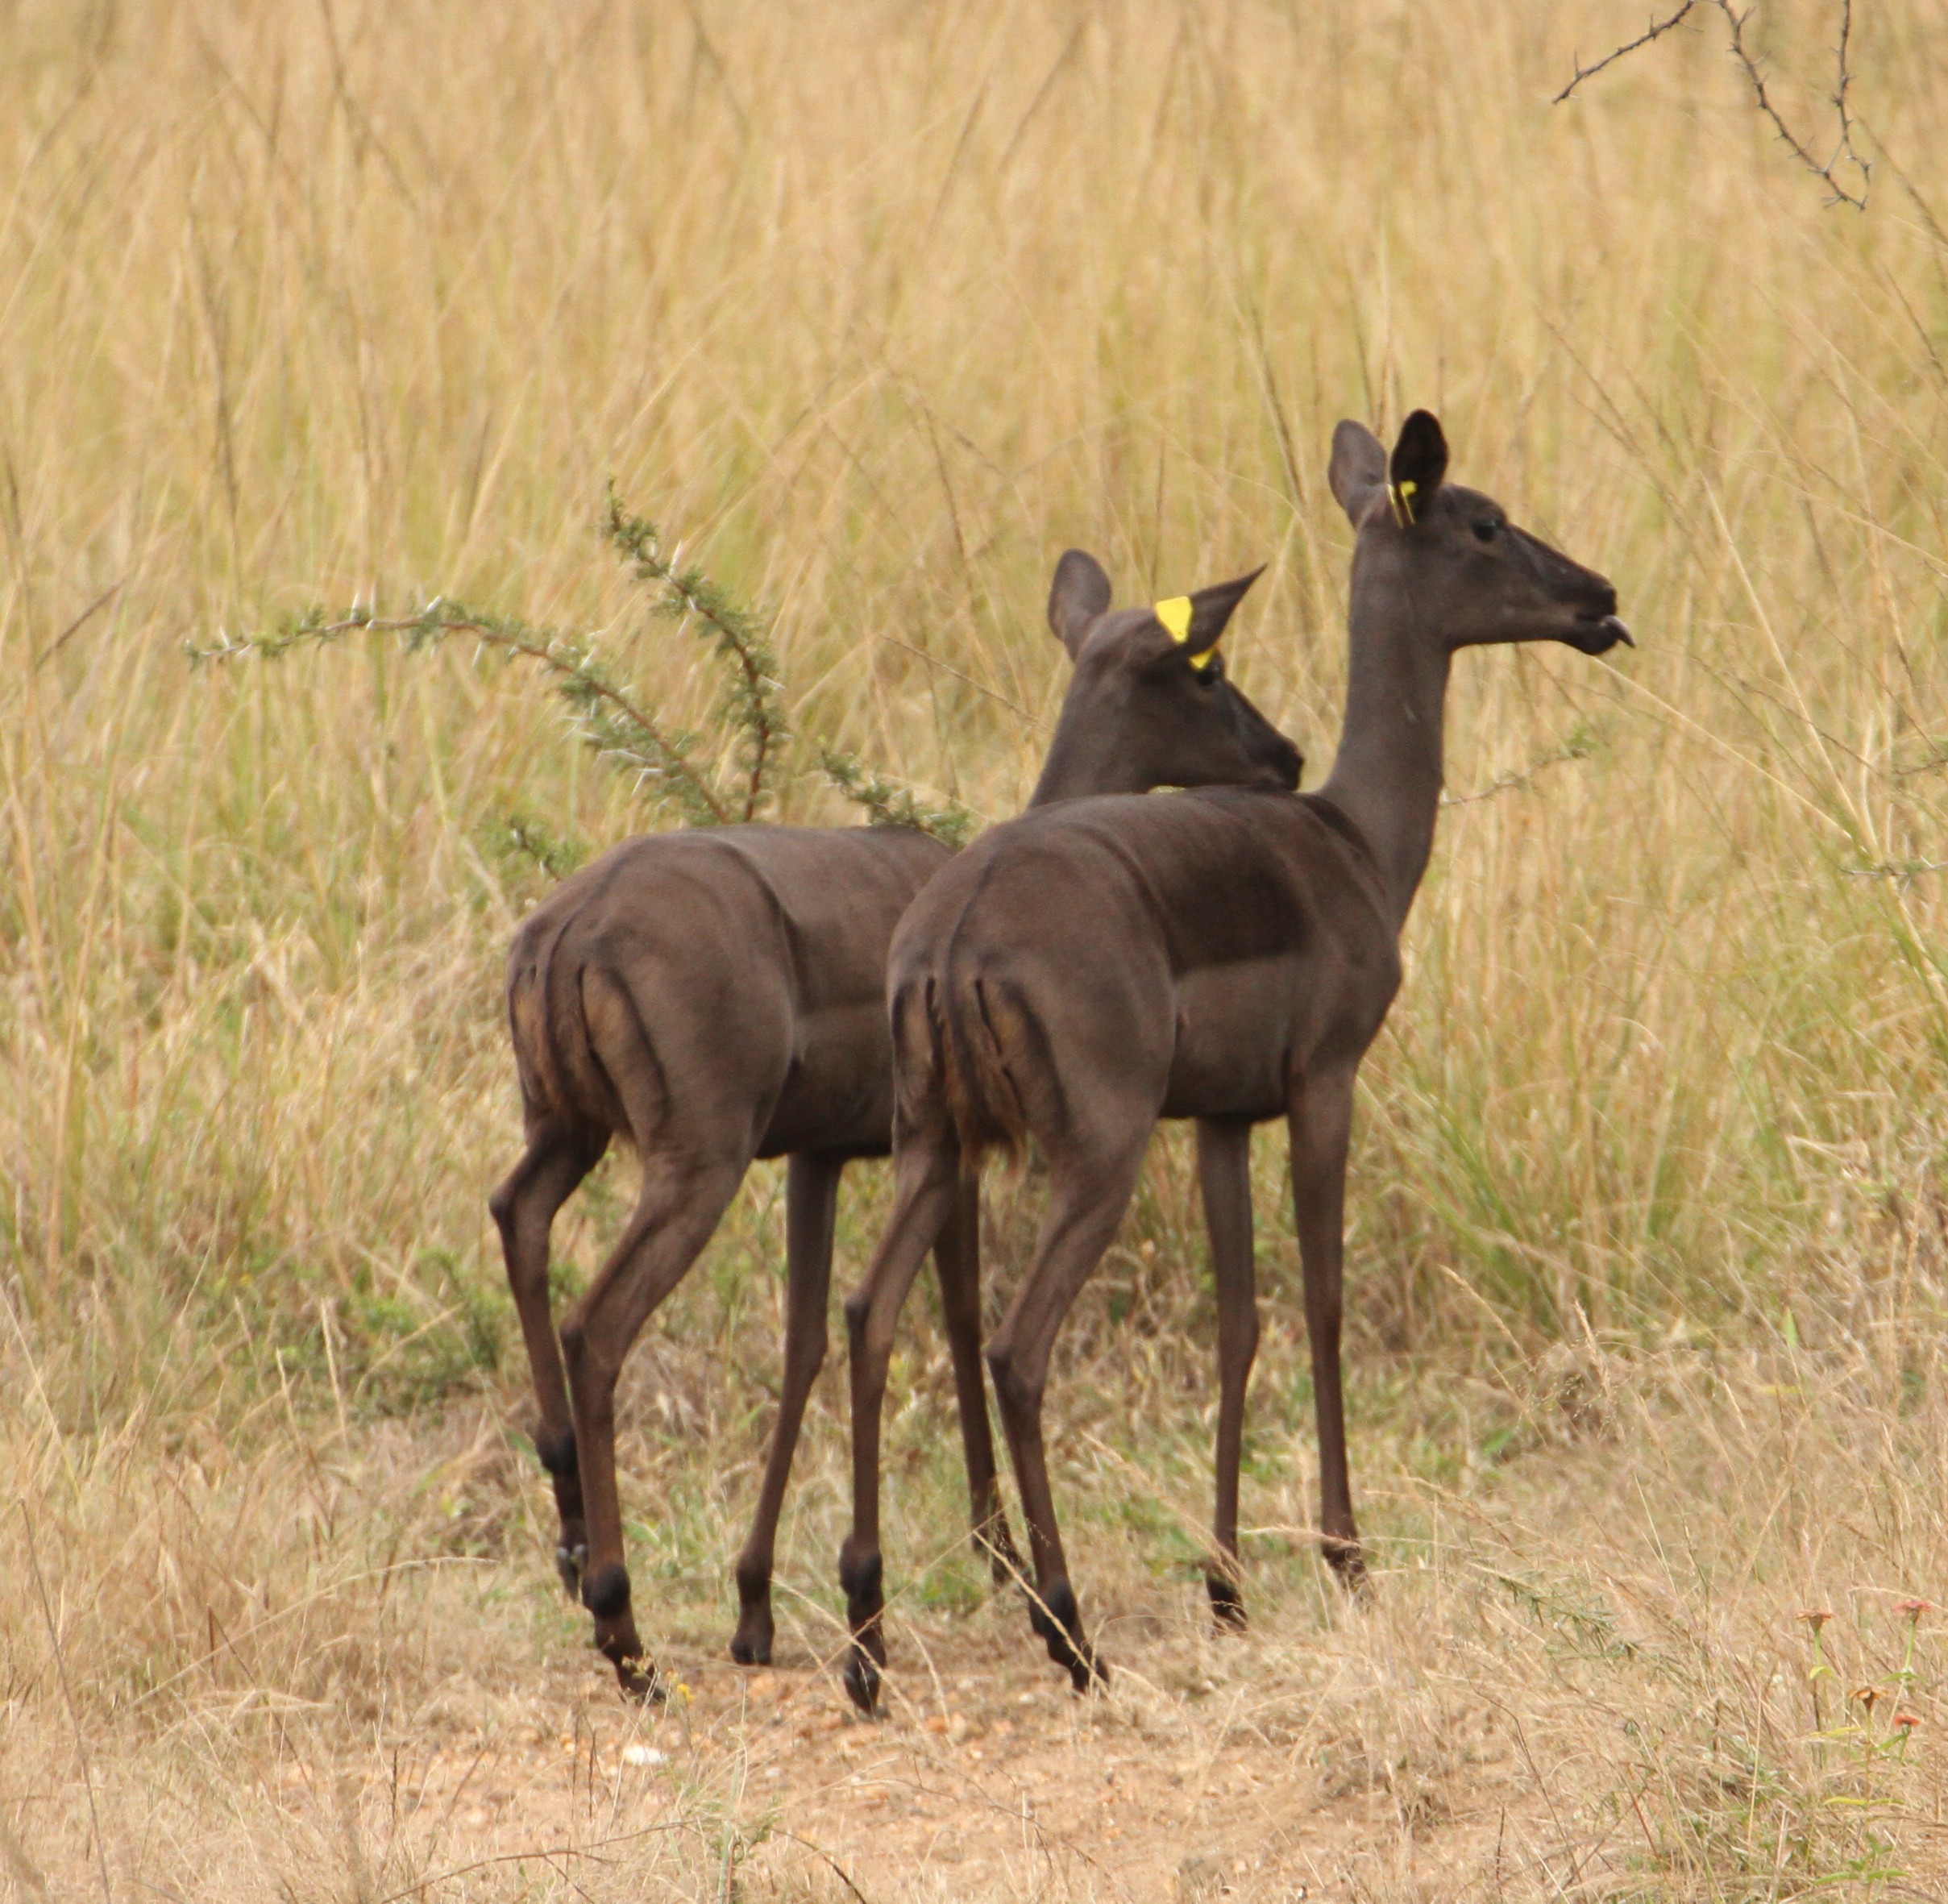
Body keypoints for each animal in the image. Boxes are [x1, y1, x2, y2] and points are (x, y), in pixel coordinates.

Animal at [488, 551, 1301, 1695]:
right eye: (1207, 666)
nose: (1284, 757)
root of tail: (566, 932)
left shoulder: (820, 1158)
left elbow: (807, 1342)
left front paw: (756, 1604)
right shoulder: (948, 1160)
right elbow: (956, 1322)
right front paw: (996, 1560)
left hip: (569, 1132)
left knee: (515, 1217)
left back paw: (571, 1543)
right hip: (694, 1163)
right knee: (594, 1324)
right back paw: (623, 1626)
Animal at [836, 412, 1631, 1709]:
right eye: (1484, 521)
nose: (1598, 598)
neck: (1353, 841)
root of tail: (956, 930)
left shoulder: (1219, 1120)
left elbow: (1237, 1323)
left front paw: (1225, 1585)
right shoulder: (1322, 1085)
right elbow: (1321, 1301)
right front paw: (1345, 1559)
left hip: (933, 1147)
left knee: (866, 1314)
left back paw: (865, 1644)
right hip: (1092, 1159)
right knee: (1014, 1344)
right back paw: (1069, 1635)